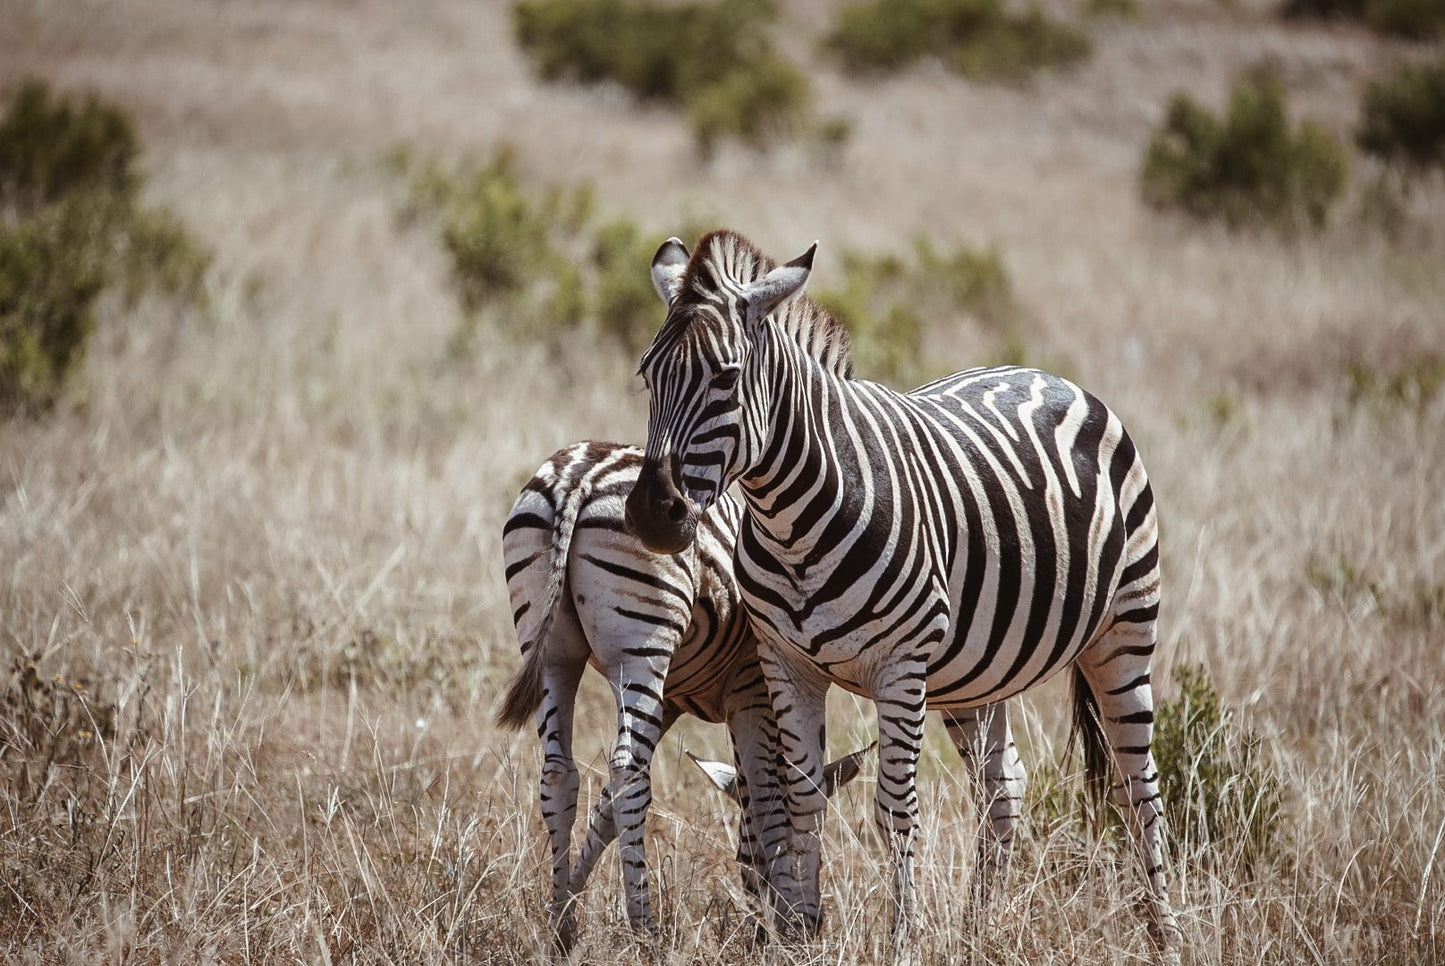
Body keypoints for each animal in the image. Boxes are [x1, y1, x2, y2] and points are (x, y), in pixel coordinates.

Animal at [497, 438, 861, 947]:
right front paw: (788, 926)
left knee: (559, 773)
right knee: (628, 772)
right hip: (642, 645)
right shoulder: (751, 689)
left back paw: (561, 929)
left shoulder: (671, 700)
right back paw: (644, 929)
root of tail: (579, 475)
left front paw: (569, 896)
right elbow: (768, 801)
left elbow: (604, 812)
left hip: (549, 648)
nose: (811, 928)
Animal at [627, 231, 1179, 958]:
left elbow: (894, 813)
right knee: (1003, 787)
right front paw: (800, 933)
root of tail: (1050, 376)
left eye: (724, 378)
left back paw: (1166, 936)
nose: (649, 516)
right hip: (977, 674)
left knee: (1138, 787)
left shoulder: (900, 666)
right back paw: (976, 935)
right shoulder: (787, 663)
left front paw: (901, 946)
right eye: (646, 375)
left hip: (1123, 630)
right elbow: (802, 801)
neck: (791, 519)